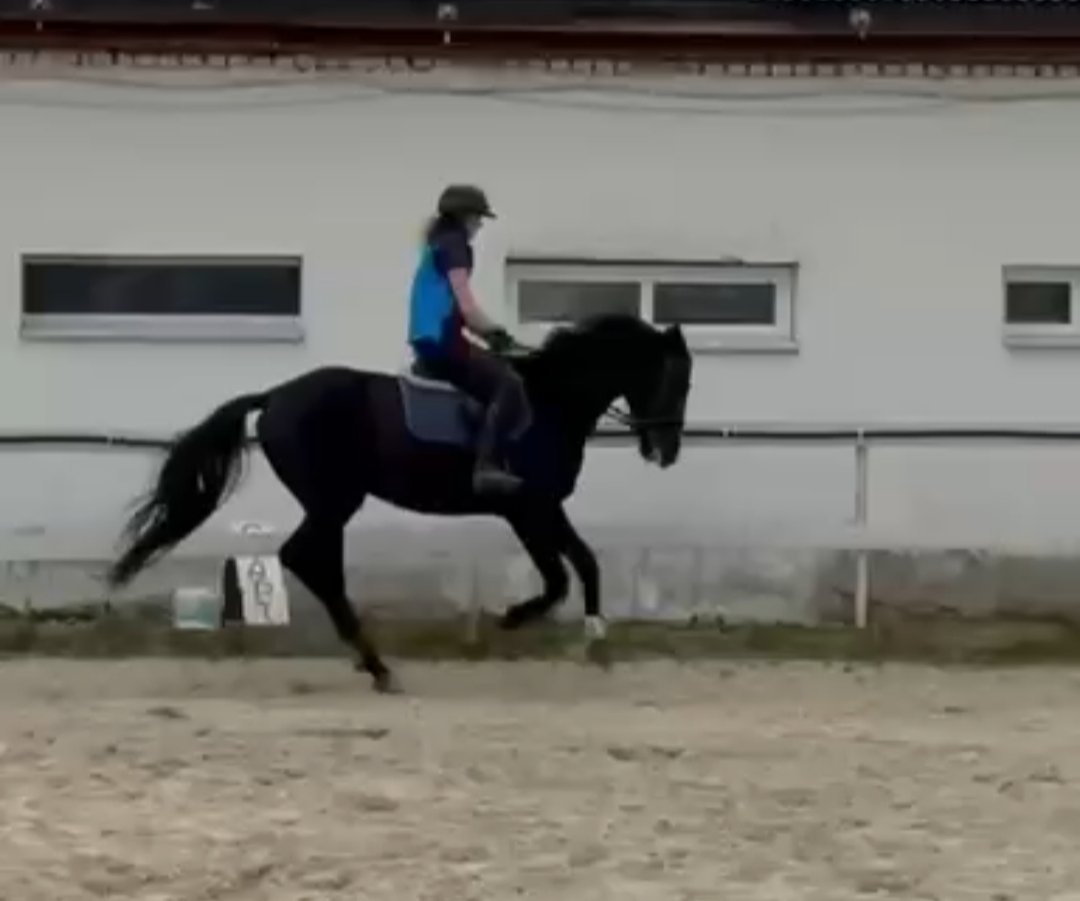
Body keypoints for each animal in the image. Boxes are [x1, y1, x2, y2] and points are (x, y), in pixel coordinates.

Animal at [105, 313, 693, 693]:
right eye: (677, 380)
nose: (666, 451)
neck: (551, 400)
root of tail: (274, 397)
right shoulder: (531, 508)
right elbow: (559, 577)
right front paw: (516, 619)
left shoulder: (539, 508)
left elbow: (582, 564)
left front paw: (596, 642)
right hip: (335, 499)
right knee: (307, 558)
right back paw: (376, 664)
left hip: (332, 502)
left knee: (314, 561)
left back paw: (372, 662)